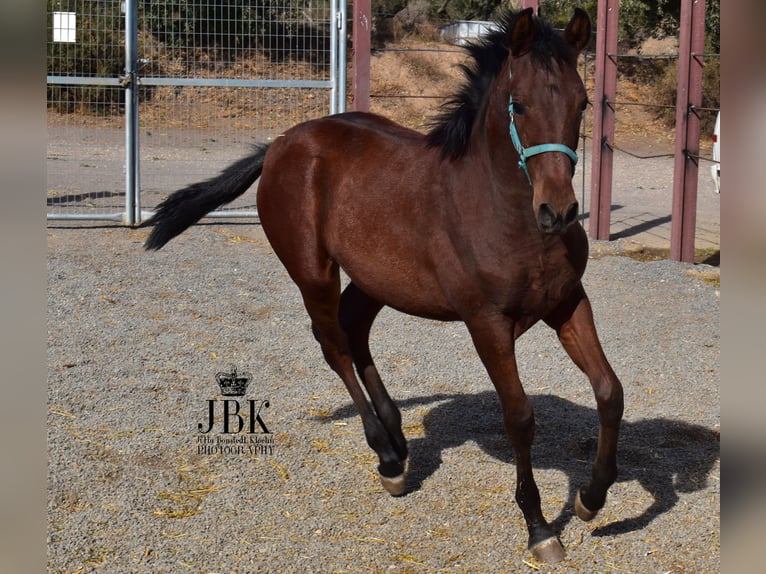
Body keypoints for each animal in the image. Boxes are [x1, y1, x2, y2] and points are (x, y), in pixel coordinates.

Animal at [143, 8, 624, 563]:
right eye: (519, 104)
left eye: (581, 102)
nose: (559, 211)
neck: (505, 212)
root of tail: (280, 144)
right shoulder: (487, 323)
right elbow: (519, 417)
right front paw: (540, 528)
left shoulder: (567, 303)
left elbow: (610, 391)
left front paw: (591, 498)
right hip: (314, 271)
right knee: (332, 342)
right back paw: (387, 456)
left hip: (375, 278)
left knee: (353, 329)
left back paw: (396, 439)